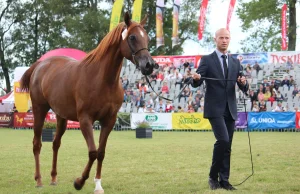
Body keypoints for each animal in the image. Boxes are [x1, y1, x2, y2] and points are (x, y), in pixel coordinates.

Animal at [20, 12, 155, 193]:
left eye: (147, 37)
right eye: (132, 37)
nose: (150, 65)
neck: (102, 80)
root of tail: (40, 65)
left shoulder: (109, 121)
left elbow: (101, 152)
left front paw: (98, 184)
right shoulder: (85, 120)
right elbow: (92, 152)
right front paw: (79, 182)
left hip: (61, 116)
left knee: (55, 143)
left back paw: (53, 178)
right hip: (39, 110)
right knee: (37, 144)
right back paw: (39, 180)